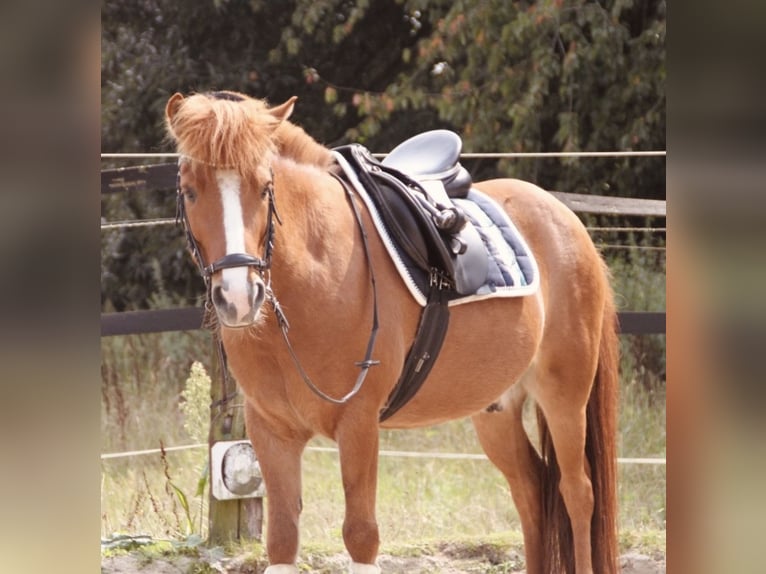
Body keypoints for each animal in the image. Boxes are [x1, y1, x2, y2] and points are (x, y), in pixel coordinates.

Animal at [164, 90, 620, 574]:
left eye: (265, 187)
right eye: (190, 191)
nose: (237, 296)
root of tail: (567, 220)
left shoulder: (360, 422)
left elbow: (361, 536)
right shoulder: (272, 431)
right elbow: (283, 539)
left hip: (565, 394)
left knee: (577, 493)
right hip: (497, 409)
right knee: (532, 490)